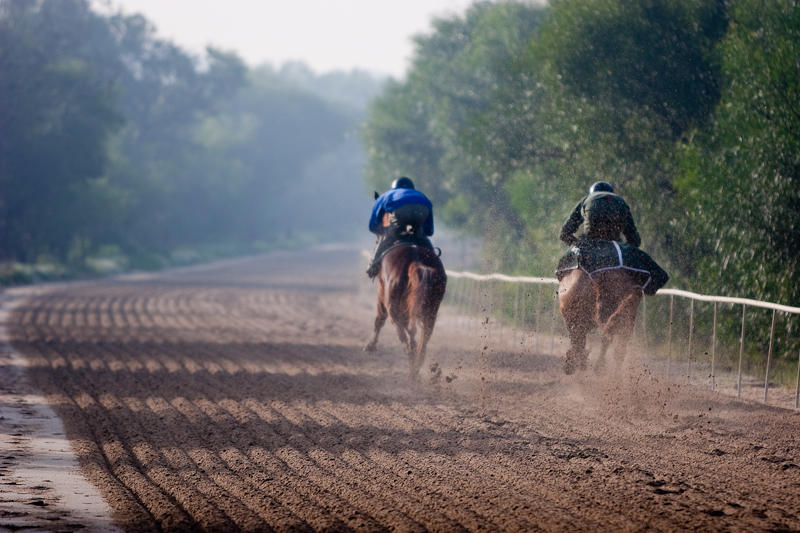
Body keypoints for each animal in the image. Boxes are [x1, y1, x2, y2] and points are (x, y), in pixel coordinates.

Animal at [366, 245, 446, 378]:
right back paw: (416, 365)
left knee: (404, 337)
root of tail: (417, 262)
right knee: (423, 337)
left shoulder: (382, 293)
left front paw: (370, 345)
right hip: (431, 312)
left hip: (393, 309)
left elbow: (379, 320)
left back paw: (412, 368)